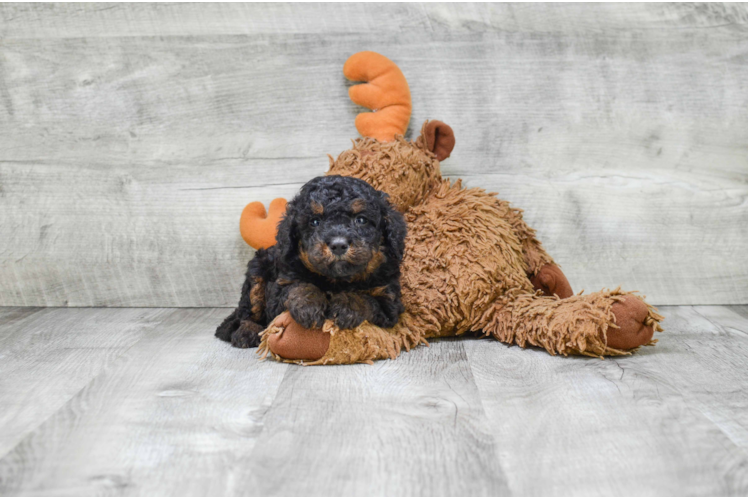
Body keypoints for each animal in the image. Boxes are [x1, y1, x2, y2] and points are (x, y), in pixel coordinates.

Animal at [213, 176, 406, 348]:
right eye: (315, 222)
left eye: (361, 220)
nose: (338, 245)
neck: (337, 280)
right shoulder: (281, 287)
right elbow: (299, 286)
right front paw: (309, 306)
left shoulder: (388, 300)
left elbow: (366, 298)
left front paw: (347, 305)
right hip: (257, 272)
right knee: (248, 311)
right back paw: (247, 332)